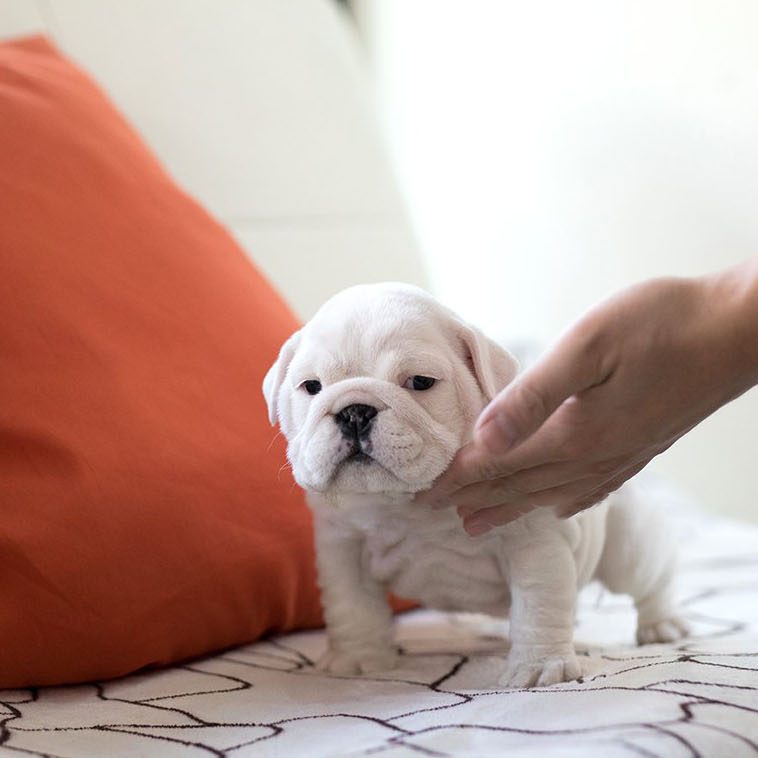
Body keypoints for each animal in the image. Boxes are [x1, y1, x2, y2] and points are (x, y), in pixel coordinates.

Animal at [264, 284, 692, 688]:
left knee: (651, 576)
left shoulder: (533, 542)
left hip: (628, 544)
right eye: (312, 387)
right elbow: (351, 606)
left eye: (420, 382)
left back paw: (662, 624)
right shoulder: (343, 548)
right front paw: (356, 658)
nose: (354, 411)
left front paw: (540, 666)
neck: (406, 501)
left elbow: (538, 603)